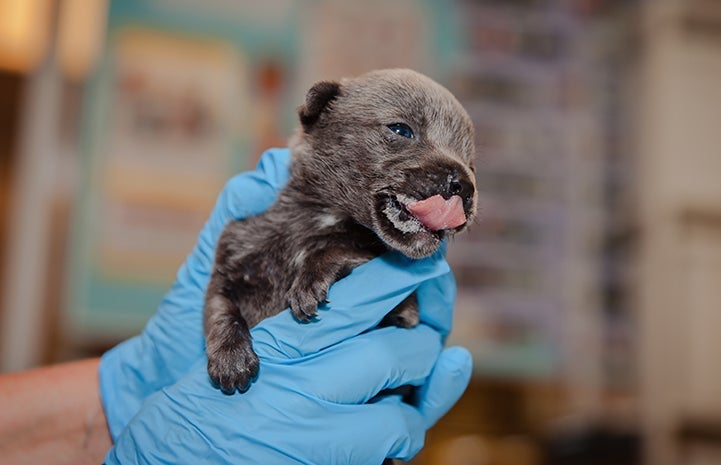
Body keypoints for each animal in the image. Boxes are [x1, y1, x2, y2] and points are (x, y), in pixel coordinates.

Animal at [205, 69, 476, 394]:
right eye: (401, 130)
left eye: (471, 163)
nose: (465, 186)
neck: (322, 216)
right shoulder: (230, 260)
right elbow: (220, 308)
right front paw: (231, 357)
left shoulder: (395, 296)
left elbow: (341, 248)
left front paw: (311, 277)